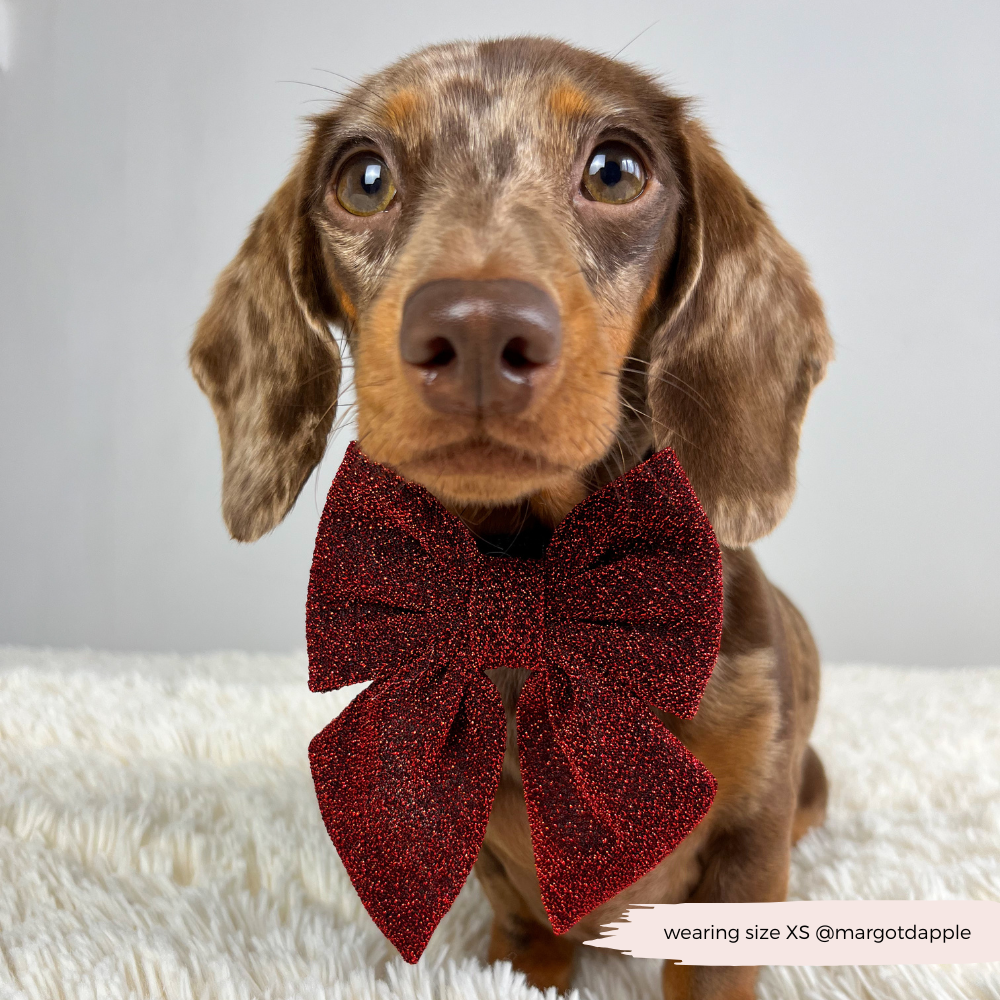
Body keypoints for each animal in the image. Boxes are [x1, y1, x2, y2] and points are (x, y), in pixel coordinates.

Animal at [191, 37, 832, 1000]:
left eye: (615, 170)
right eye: (364, 178)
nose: (478, 333)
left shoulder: (747, 836)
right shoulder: (487, 845)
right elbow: (523, 926)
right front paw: (526, 965)